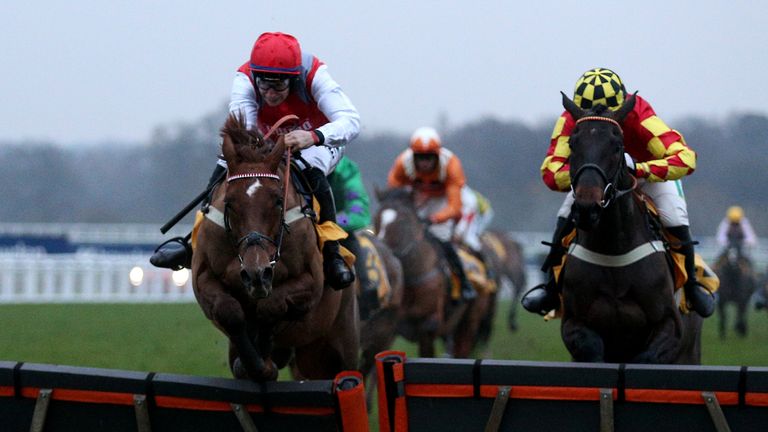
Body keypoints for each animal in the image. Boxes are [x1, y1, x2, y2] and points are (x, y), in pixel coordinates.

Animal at [192, 115, 360, 382]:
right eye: (229, 202)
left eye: (278, 201)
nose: (257, 273)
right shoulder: (203, 276)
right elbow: (230, 311)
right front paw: (250, 364)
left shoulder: (310, 282)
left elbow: (270, 307)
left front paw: (263, 364)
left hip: (339, 346)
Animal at [372, 187, 492, 360]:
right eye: (376, 218)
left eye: (403, 220)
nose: (382, 252)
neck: (413, 275)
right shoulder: (389, 326)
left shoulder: (429, 326)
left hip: (470, 321)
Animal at [560, 93, 704, 364]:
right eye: (573, 144)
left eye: (617, 147)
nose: (586, 208)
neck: (613, 250)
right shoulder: (573, 322)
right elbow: (591, 347)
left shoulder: (670, 325)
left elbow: (646, 357)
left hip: (690, 352)